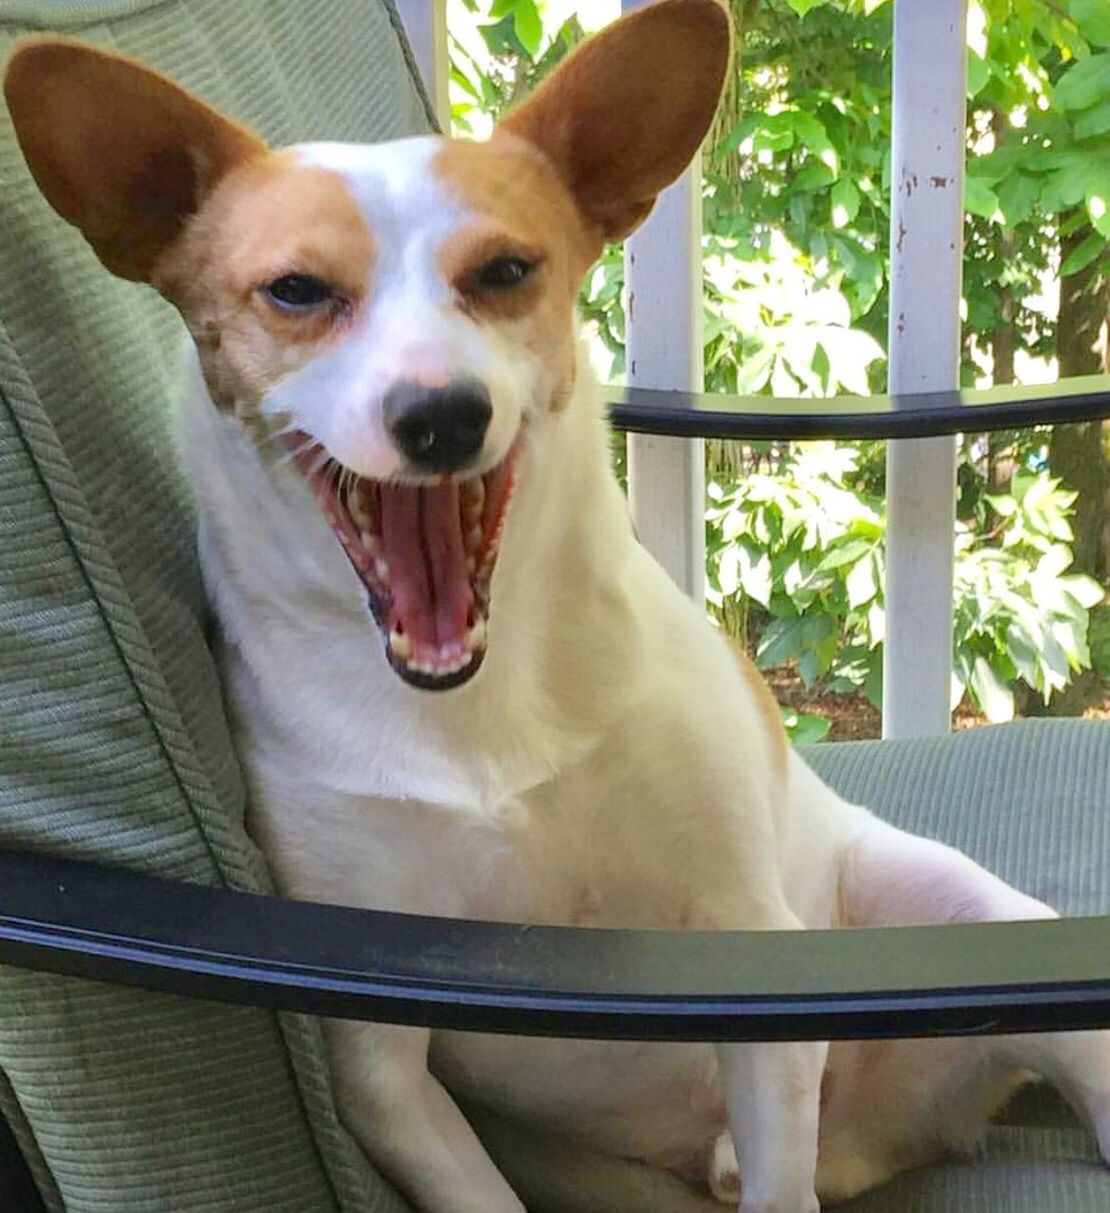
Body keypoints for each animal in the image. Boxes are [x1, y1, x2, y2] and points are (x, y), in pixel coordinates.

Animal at [8, 4, 1110, 1208]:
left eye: (505, 270)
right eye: (296, 291)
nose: (441, 414)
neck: (481, 714)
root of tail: (882, 1139)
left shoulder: (748, 953)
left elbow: (779, 1163)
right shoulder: (382, 1063)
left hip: (974, 923)